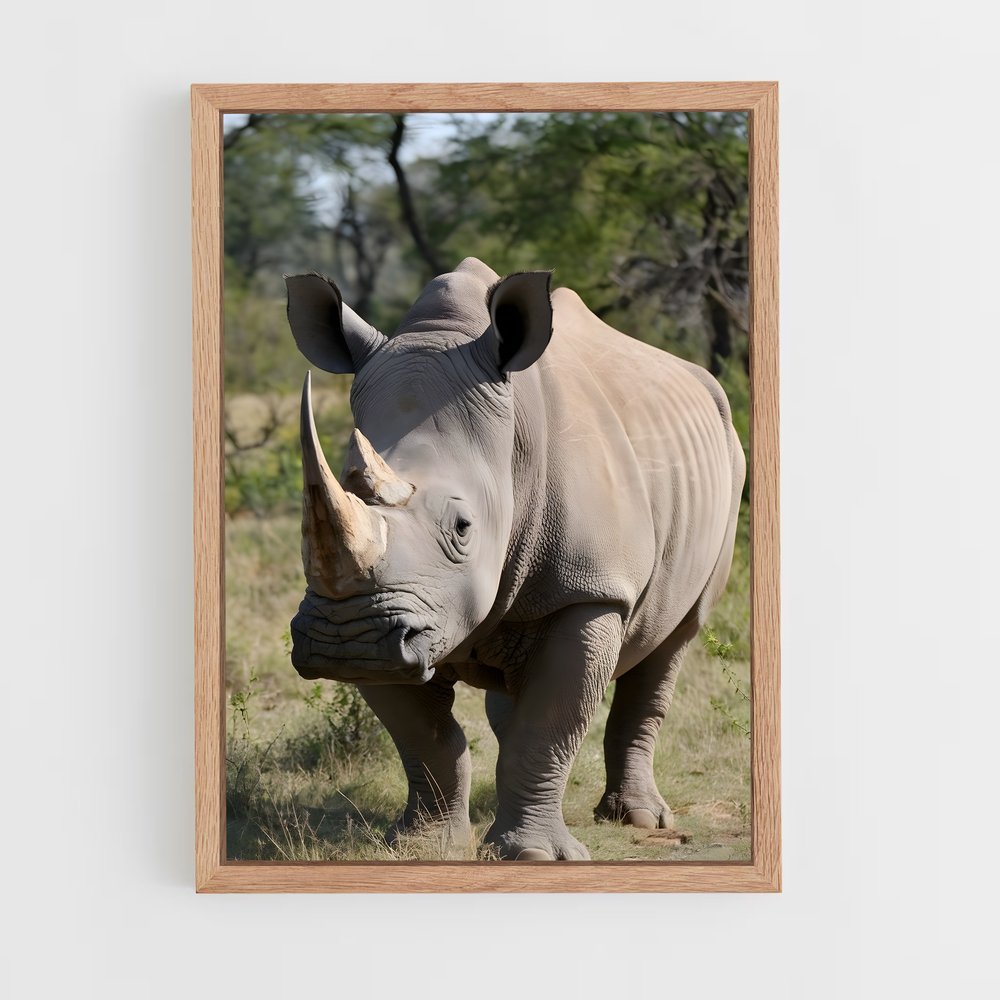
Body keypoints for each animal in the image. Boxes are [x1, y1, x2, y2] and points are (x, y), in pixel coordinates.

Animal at [284, 257, 745, 861]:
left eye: (463, 528)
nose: (348, 640)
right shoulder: (390, 623)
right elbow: (425, 736)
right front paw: (421, 844)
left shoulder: (589, 590)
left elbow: (547, 725)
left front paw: (531, 856)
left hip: (731, 464)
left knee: (674, 639)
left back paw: (640, 820)